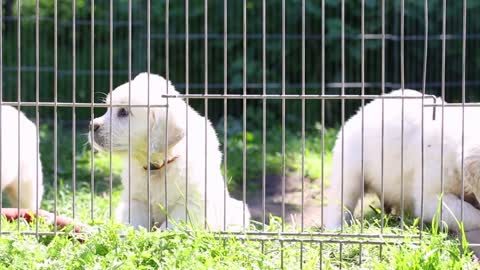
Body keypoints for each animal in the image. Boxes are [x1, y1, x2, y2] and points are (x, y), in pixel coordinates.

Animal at [89, 72, 251, 230]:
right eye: (108, 108)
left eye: (123, 112)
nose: (92, 125)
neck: (157, 166)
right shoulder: (135, 200)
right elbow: (134, 224)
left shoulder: (190, 204)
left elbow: (171, 226)